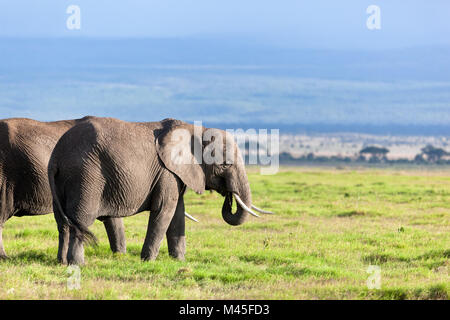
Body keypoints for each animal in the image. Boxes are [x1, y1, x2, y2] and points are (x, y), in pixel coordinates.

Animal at [48, 117, 272, 264]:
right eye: (225, 164)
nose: (229, 196)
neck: (195, 129)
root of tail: (57, 156)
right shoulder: (167, 172)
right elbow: (165, 210)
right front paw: (148, 261)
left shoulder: (175, 174)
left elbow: (178, 213)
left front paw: (179, 261)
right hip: (87, 176)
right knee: (81, 220)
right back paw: (78, 264)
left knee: (63, 223)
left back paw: (62, 262)